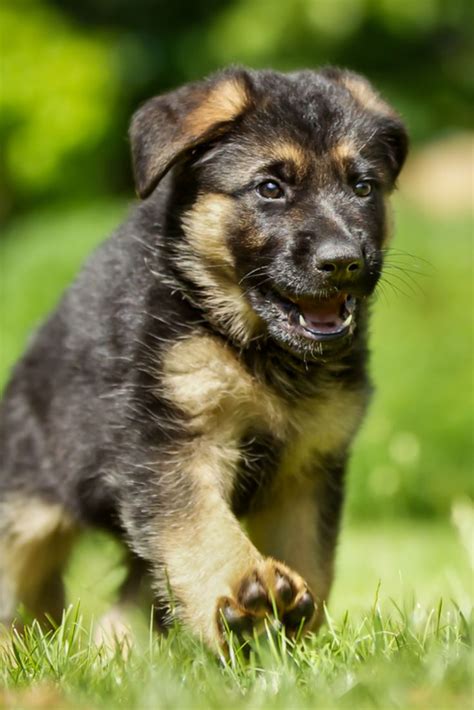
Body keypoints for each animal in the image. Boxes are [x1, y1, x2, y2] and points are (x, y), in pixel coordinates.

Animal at [0, 67, 408, 652]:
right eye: (270, 188)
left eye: (363, 187)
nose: (343, 262)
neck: (254, 347)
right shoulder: (172, 442)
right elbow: (200, 525)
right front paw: (242, 590)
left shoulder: (308, 466)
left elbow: (312, 557)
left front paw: (296, 639)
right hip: (27, 509)